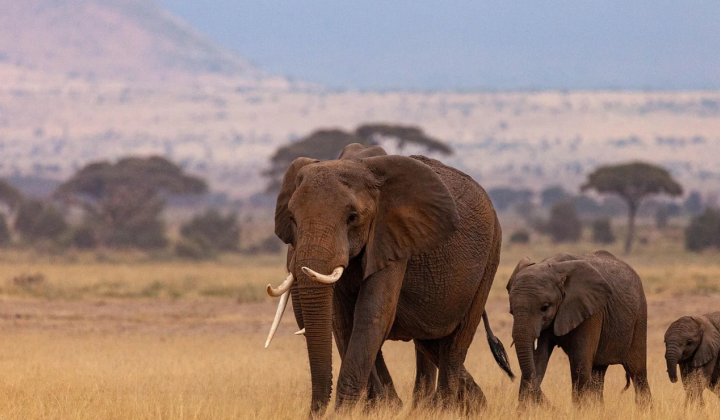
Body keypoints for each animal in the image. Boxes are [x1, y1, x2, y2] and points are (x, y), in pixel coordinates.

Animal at [264, 143, 513, 415]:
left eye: (352, 217)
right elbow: (343, 322)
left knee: (455, 344)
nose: (315, 414)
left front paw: (348, 412)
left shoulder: (393, 238)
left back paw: (445, 409)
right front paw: (381, 408)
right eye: (292, 218)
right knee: (429, 342)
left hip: (490, 257)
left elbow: (372, 315)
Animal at [506, 250, 651, 407]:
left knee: (637, 372)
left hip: (639, 316)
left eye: (545, 308)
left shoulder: (591, 311)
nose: (553, 406)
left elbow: (579, 363)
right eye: (511, 311)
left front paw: (581, 410)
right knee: (598, 373)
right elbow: (538, 360)